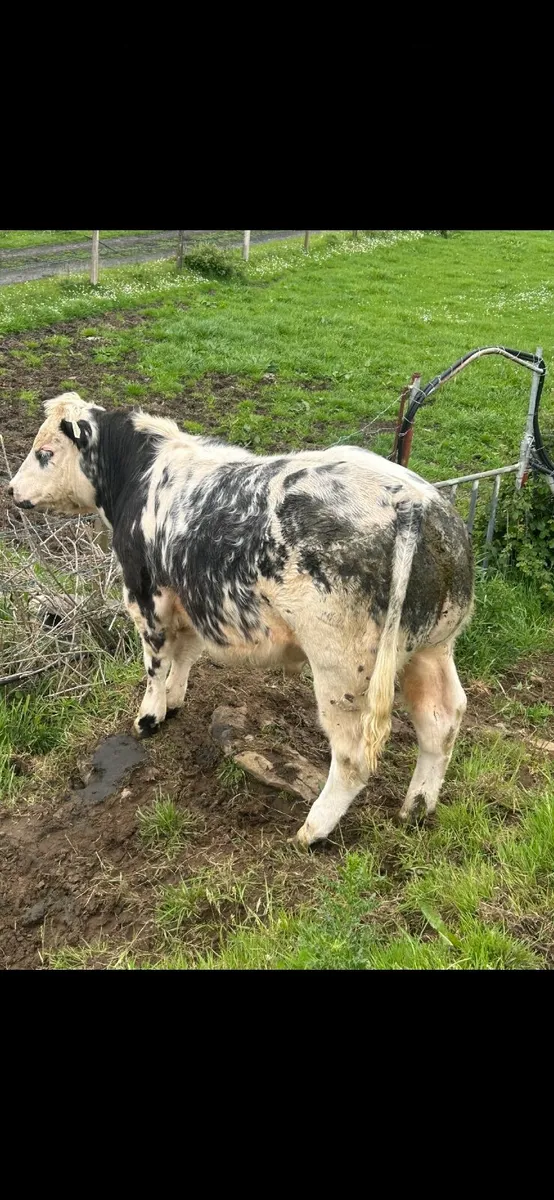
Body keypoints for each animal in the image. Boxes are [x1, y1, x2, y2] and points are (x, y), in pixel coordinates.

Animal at [8, 392, 474, 847]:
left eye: (45, 452)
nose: (11, 489)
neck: (140, 475)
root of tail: (410, 500)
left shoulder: (145, 595)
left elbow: (155, 661)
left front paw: (148, 718)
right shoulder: (192, 598)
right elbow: (185, 654)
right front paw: (174, 701)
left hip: (343, 671)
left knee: (354, 756)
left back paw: (312, 830)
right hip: (433, 648)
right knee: (442, 722)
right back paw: (416, 809)